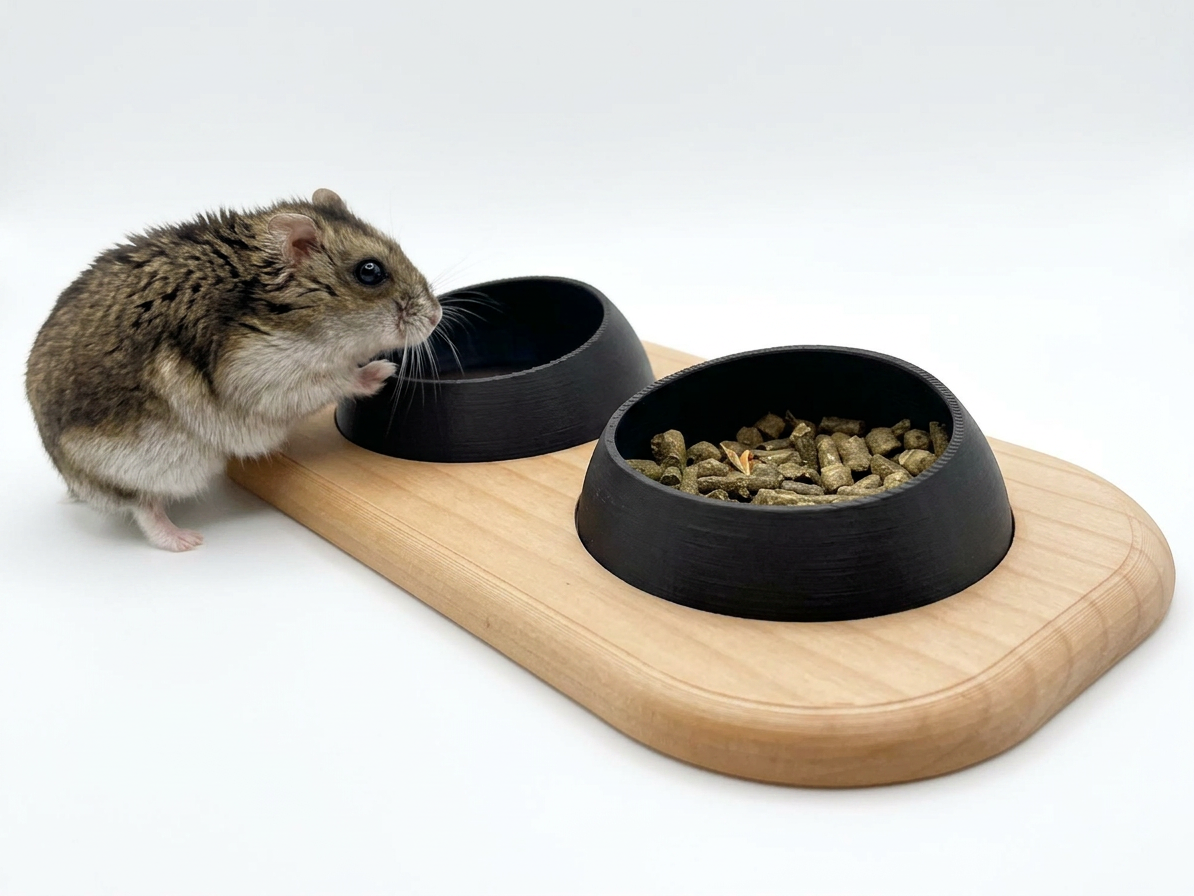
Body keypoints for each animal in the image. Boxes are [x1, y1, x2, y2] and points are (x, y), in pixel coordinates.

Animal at [25, 188, 441, 551]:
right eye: (370, 271)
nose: (436, 315)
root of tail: (74, 482)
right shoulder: (263, 373)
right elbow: (335, 380)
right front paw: (383, 369)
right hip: (146, 467)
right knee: (142, 507)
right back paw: (186, 541)